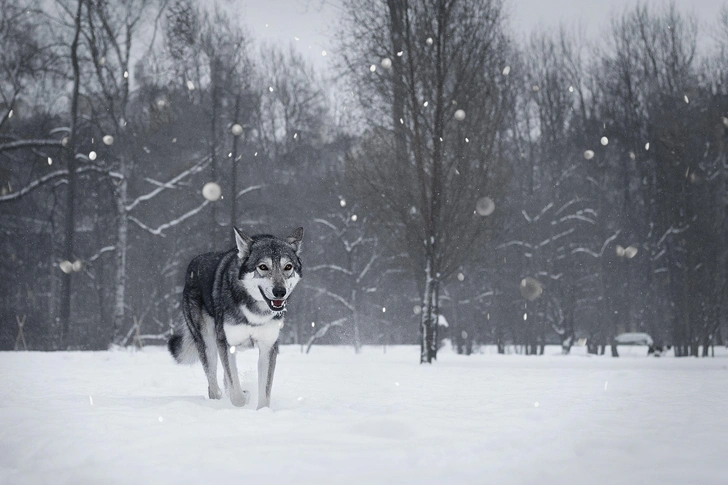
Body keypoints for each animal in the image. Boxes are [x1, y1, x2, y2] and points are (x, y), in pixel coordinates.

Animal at [167, 227, 302, 408]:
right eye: (263, 267)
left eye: (288, 267)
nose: (280, 292)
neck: (255, 309)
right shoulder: (225, 343)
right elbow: (236, 395)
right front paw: (244, 397)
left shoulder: (268, 346)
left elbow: (264, 393)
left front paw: (262, 411)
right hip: (208, 343)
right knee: (214, 387)